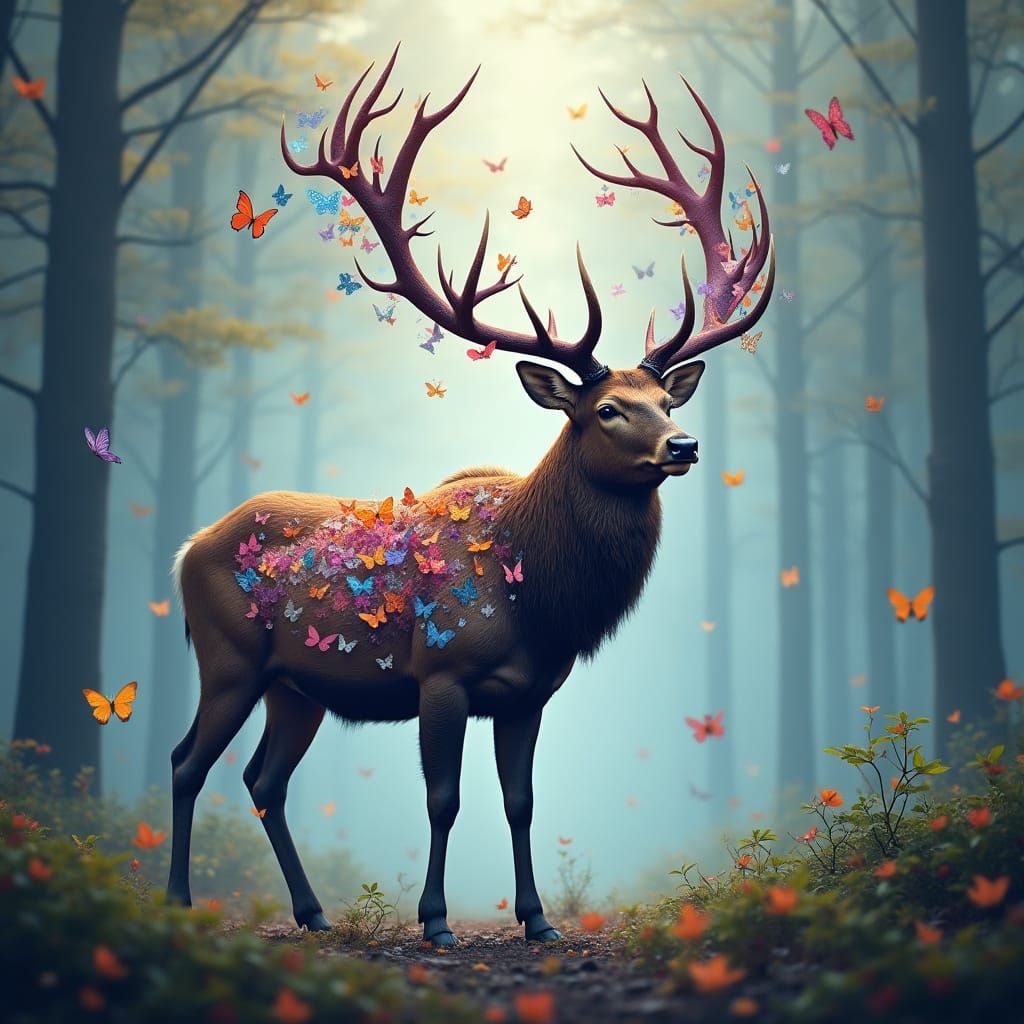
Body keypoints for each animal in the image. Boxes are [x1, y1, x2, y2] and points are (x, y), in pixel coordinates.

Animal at [165, 45, 773, 947]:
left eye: (669, 400)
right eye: (606, 409)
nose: (685, 446)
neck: (540, 596)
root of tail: (187, 547)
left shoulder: (531, 691)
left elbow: (520, 803)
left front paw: (538, 920)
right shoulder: (441, 674)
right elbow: (443, 800)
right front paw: (437, 921)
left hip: (295, 686)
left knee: (263, 780)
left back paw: (312, 912)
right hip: (229, 658)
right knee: (186, 763)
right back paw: (177, 900)